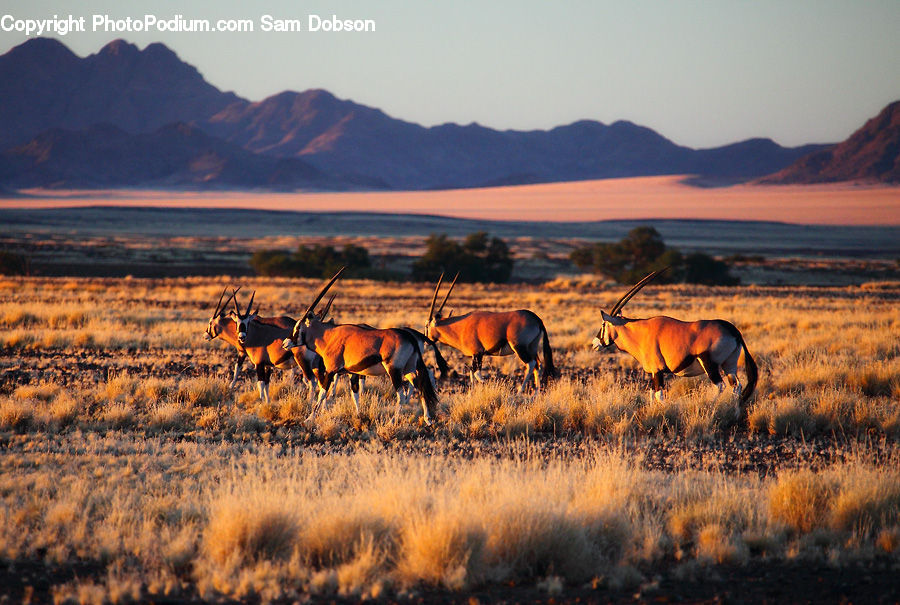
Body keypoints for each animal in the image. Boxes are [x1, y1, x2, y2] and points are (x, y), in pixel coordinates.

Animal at [283, 269, 440, 424]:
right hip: (409, 368)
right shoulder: (352, 372)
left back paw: (393, 421)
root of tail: (410, 336)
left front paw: (309, 418)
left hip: (394, 370)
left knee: (401, 394)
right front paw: (358, 415)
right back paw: (428, 419)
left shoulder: (331, 370)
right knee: (421, 386)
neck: (329, 336)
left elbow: (322, 393)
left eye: (298, 327)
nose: (285, 343)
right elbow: (355, 394)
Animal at [425, 273, 559, 393]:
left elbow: (477, 374)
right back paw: (535, 394)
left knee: (530, 364)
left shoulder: (478, 353)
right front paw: (471, 394)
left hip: (519, 347)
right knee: (538, 366)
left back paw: (520, 391)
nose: (426, 342)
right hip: (532, 347)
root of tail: (536, 319)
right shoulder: (475, 355)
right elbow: (472, 373)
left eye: (426, 325)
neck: (460, 326)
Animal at [591, 269, 758, 418]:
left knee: (720, 386)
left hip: (710, 364)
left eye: (603, 325)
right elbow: (652, 394)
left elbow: (659, 396)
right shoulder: (654, 373)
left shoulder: (657, 371)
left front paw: (667, 411)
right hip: (729, 365)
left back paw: (711, 409)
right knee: (736, 387)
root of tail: (733, 331)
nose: (594, 344)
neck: (640, 333)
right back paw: (735, 414)